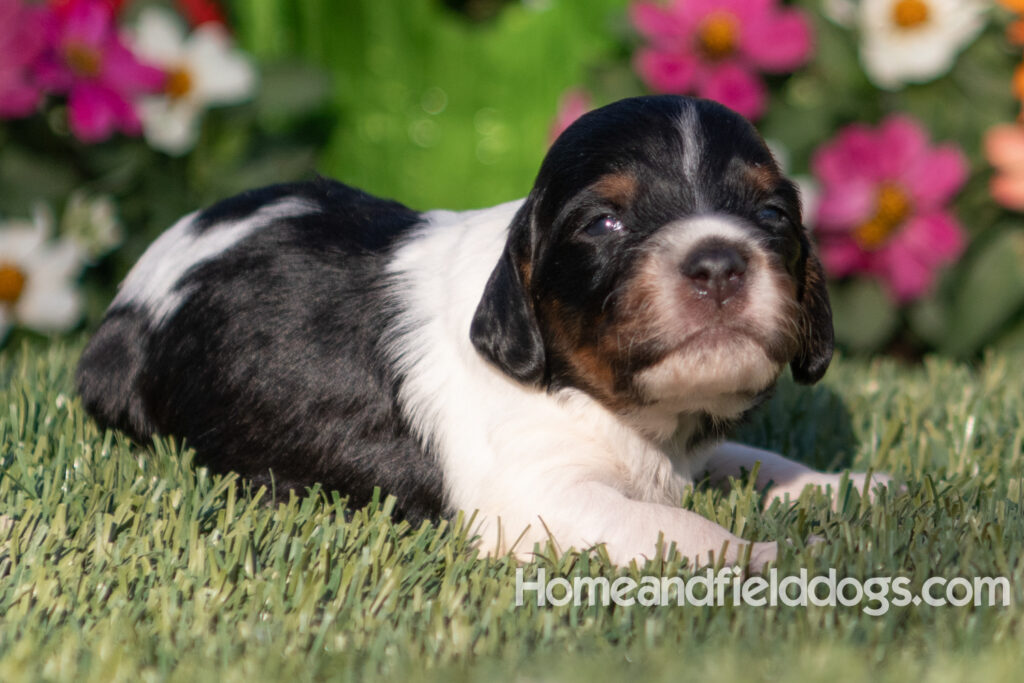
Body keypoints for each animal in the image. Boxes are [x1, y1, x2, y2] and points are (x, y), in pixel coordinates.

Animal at [75, 93, 888, 569]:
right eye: (604, 223)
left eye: (773, 214)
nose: (718, 261)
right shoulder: (533, 497)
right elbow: (682, 530)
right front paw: (788, 557)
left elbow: (751, 458)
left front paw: (849, 486)